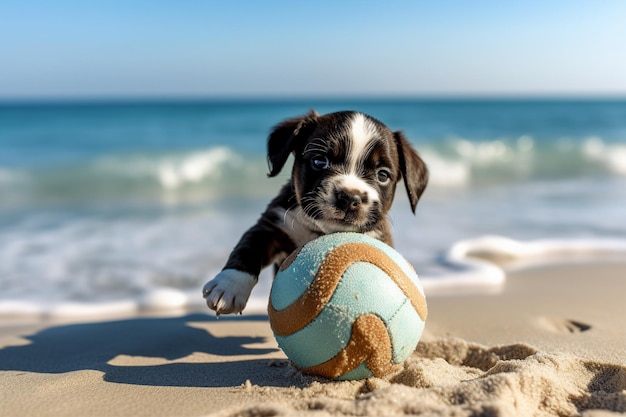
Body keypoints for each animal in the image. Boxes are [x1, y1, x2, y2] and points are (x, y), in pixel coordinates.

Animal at [202, 109, 426, 314]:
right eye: (320, 162)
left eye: (382, 175)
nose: (349, 197)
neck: (322, 231)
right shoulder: (272, 226)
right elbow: (248, 249)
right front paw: (229, 286)